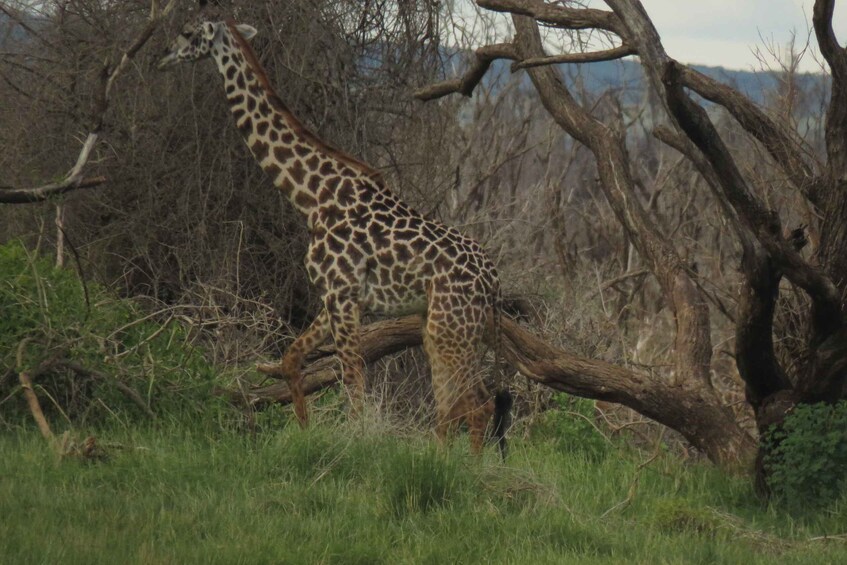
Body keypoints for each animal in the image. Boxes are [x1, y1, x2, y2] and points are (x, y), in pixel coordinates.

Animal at [162, 15, 512, 454]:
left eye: (189, 33)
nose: (164, 56)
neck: (311, 195)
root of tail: (495, 282)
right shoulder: (332, 295)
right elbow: (292, 360)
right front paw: (304, 432)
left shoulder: (343, 295)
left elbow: (354, 384)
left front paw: (353, 445)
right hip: (445, 327)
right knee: (457, 404)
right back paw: (447, 459)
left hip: (450, 327)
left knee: (475, 403)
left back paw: (464, 466)